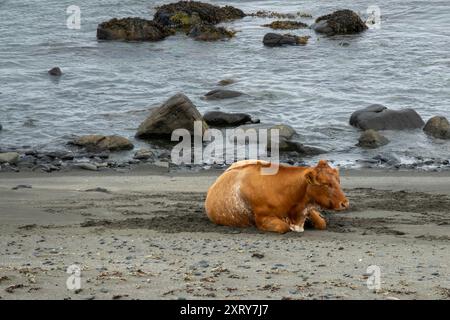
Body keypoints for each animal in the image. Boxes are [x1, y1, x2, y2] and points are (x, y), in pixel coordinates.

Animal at [206, 159, 350, 232]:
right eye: (325, 184)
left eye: (338, 180)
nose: (345, 203)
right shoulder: (262, 218)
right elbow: (283, 227)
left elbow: (321, 223)